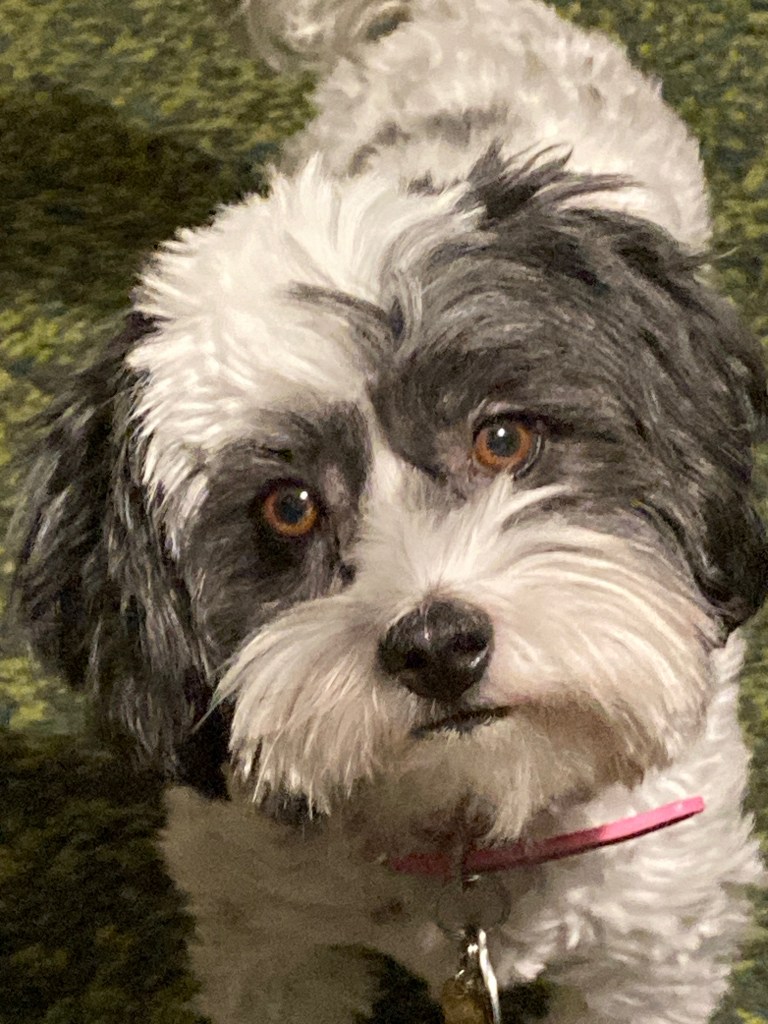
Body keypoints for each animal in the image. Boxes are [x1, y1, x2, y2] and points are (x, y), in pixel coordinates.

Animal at [14, 1, 768, 1021]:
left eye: (504, 439)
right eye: (288, 508)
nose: (439, 645)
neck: (471, 836)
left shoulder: (651, 948)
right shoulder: (272, 946)